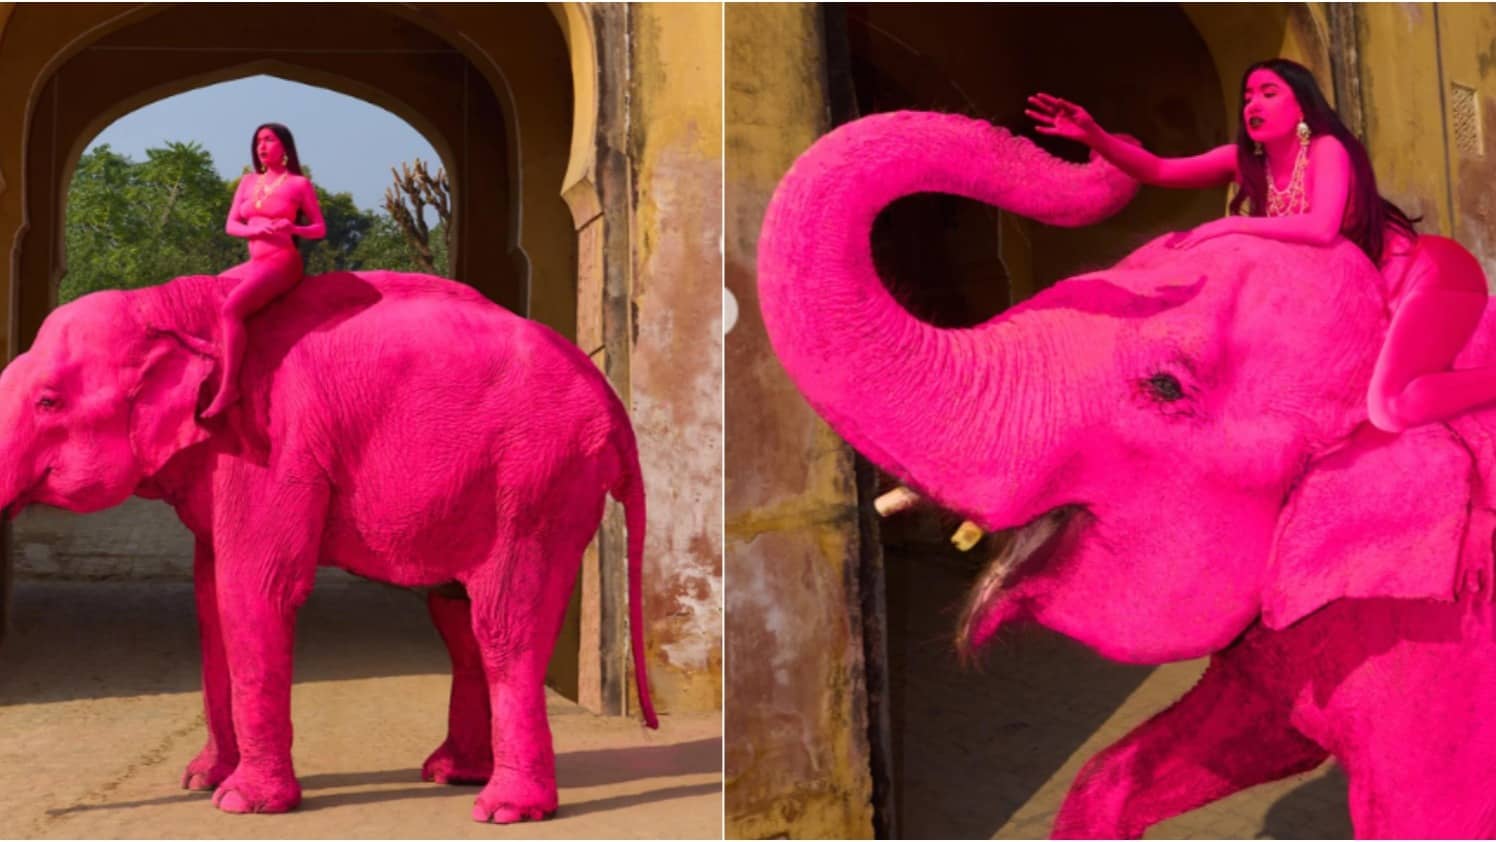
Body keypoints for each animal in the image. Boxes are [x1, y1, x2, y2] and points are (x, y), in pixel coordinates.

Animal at [0, 269, 657, 823]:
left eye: (48, 401)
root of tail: (613, 402)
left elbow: (254, 590)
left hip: (538, 478)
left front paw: (239, 803)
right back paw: (452, 775)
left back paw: (503, 810)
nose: (49, 812)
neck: (171, 305)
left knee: (503, 624)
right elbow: (211, 601)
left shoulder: (272, 449)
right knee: (456, 616)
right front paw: (200, 780)